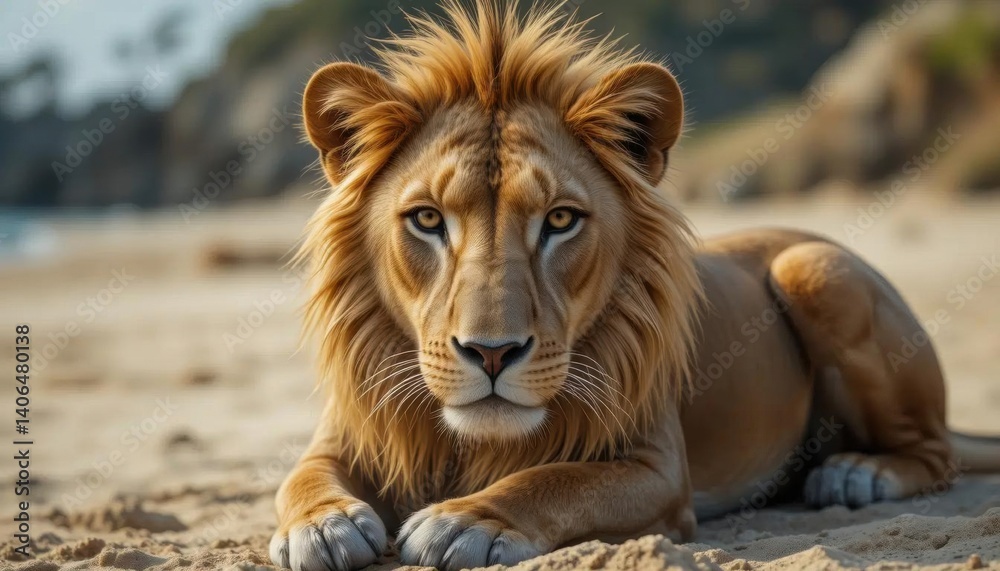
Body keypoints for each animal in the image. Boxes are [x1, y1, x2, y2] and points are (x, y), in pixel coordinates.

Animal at [269, 3, 1000, 570]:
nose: (492, 353)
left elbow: (553, 479)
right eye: (426, 220)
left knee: (936, 451)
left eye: (560, 220)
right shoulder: (341, 435)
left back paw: (859, 471)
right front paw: (323, 524)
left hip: (816, 268)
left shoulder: (658, 472)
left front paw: (465, 520)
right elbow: (299, 477)